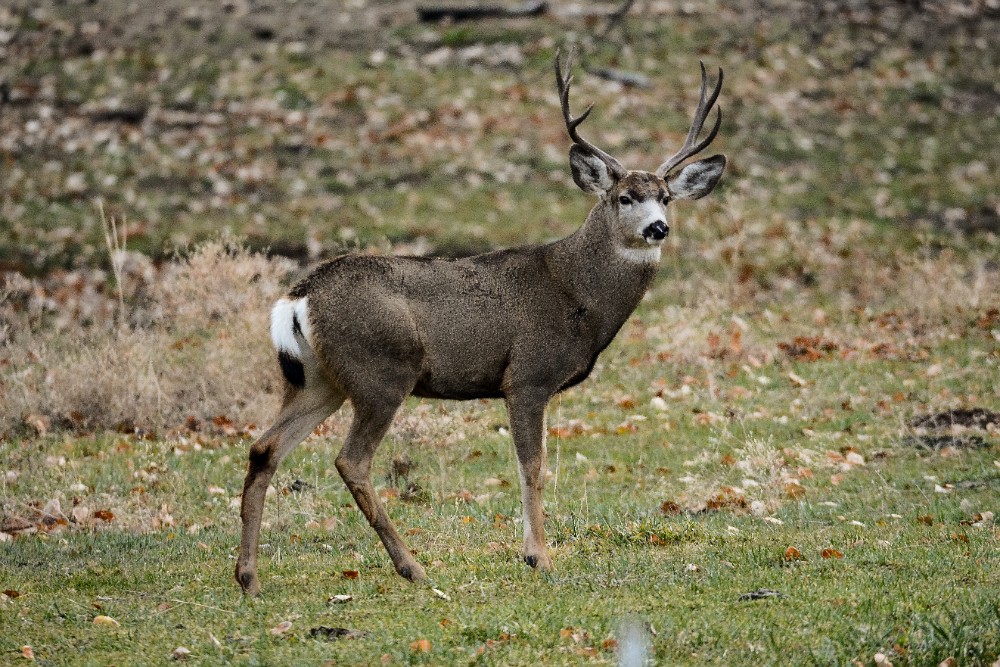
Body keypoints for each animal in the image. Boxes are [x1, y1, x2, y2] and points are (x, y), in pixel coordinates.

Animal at [236, 49, 728, 596]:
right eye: (625, 197)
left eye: (665, 196)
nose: (658, 228)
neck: (576, 292)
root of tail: (299, 297)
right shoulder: (527, 376)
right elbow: (532, 467)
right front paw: (539, 557)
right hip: (381, 371)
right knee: (350, 460)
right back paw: (412, 566)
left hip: (320, 380)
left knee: (264, 448)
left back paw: (249, 578)